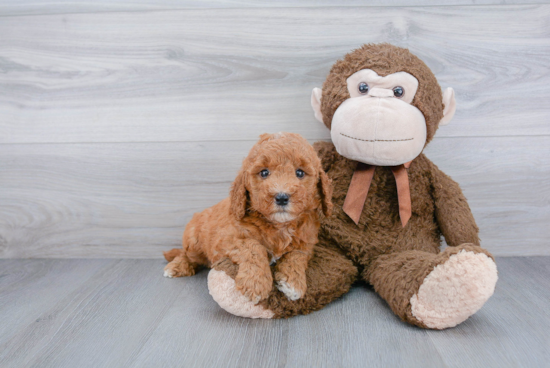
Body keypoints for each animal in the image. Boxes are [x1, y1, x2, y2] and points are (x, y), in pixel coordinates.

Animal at [164, 132, 334, 302]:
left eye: (300, 172)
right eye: (264, 172)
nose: (281, 197)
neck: (279, 226)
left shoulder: (306, 243)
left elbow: (296, 256)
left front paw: (293, 282)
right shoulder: (227, 239)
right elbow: (253, 246)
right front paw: (255, 284)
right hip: (194, 241)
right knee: (186, 255)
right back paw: (176, 267)